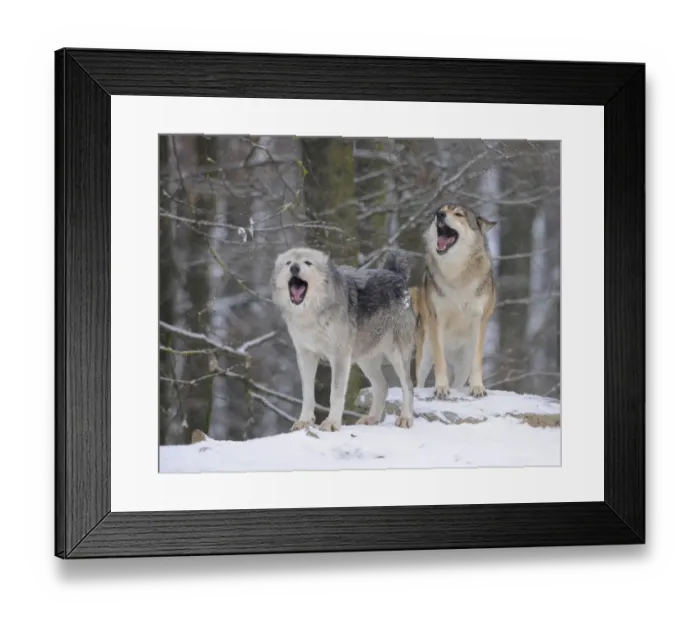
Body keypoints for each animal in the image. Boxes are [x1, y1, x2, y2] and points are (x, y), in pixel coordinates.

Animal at [271, 247, 417, 432]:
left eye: (307, 263)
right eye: (288, 263)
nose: (294, 268)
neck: (312, 315)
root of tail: (394, 273)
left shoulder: (339, 357)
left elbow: (336, 393)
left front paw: (331, 423)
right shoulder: (305, 355)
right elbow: (307, 393)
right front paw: (304, 422)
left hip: (396, 355)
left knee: (408, 385)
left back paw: (405, 418)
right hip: (365, 360)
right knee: (382, 386)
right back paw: (371, 419)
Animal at [410, 203, 497, 399]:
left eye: (458, 214)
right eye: (441, 210)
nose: (439, 214)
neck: (457, 275)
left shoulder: (479, 320)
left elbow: (477, 362)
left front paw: (477, 388)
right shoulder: (437, 319)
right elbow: (440, 362)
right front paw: (441, 388)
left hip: (463, 365)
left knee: (458, 381)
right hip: (425, 354)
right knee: (419, 381)